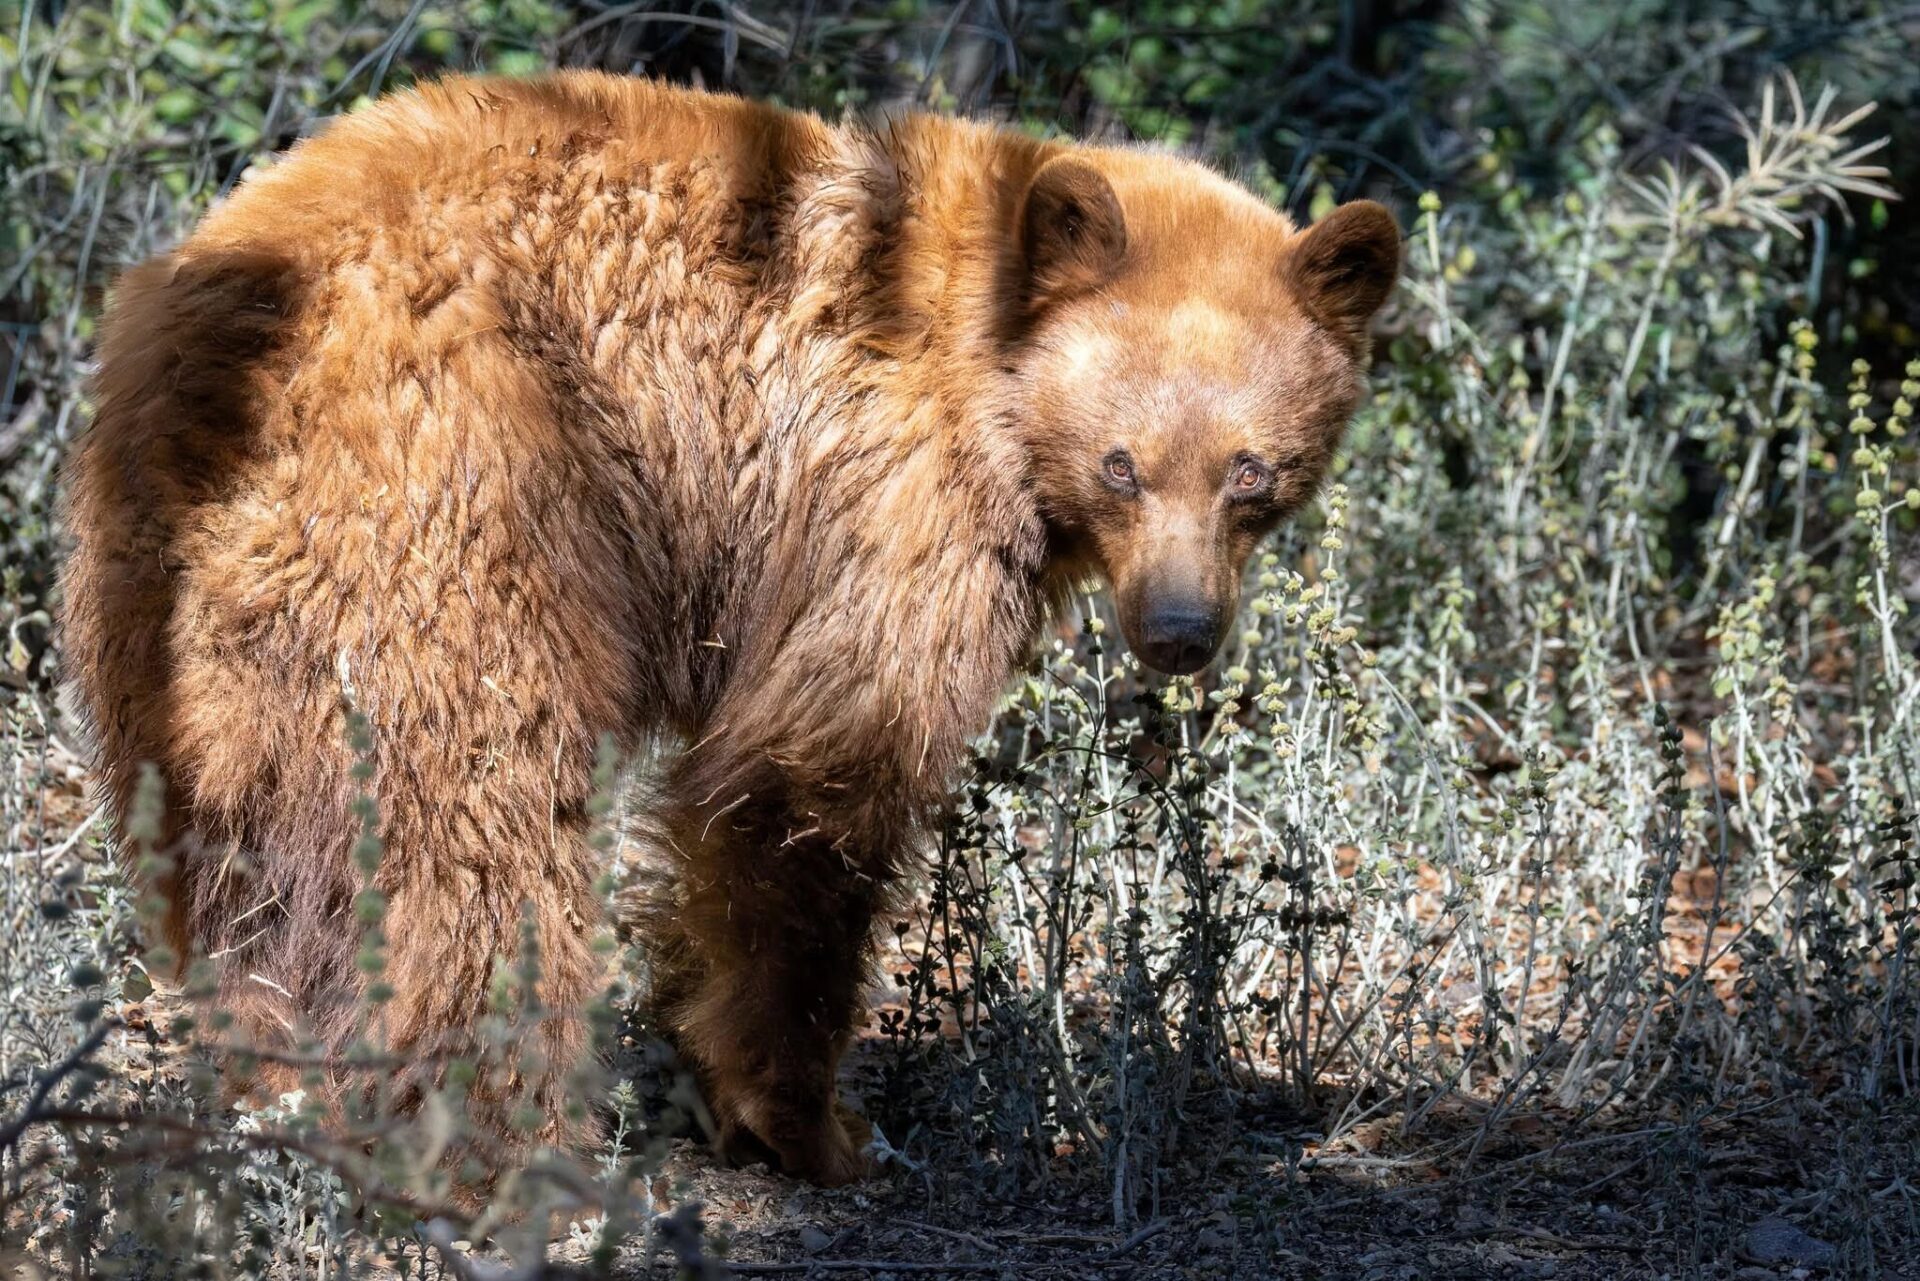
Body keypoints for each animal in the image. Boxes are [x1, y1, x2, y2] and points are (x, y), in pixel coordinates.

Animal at [57, 71, 1399, 1188]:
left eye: (1253, 473)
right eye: (1124, 464)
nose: (1179, 629)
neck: (998, 370)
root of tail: (236, 342)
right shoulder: (895, 501)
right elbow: (811, 782)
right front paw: (812, 1123)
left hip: (165, 606)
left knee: (232, 849)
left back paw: (268, 1077)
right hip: (468, 496)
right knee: (476, 828)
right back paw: (501, 1143)